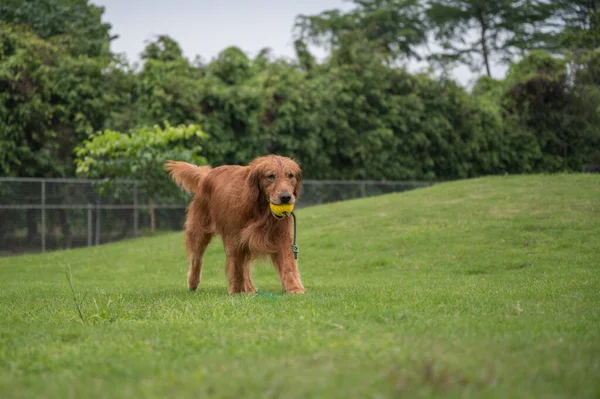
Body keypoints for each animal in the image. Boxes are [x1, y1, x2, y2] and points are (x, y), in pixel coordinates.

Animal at [164, 155, 304, 296]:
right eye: (270, 176)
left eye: (291, 175)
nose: (285, 197)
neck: (260, 209)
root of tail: (207, 175)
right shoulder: (234, 237)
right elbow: (236, 266)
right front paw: (236, 291)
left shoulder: (281, 236)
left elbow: (288, 264)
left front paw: (294, 288)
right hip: (199, 232)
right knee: (196, 259)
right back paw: (193, 283)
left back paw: (250, 289)